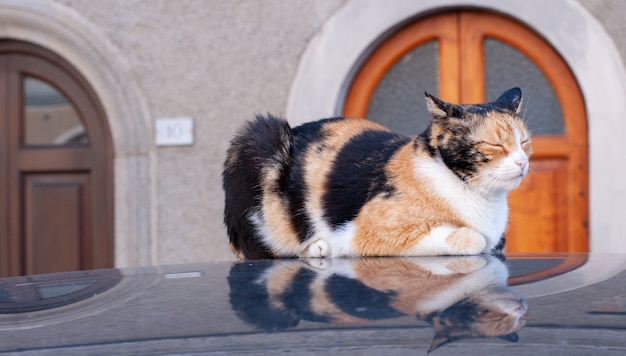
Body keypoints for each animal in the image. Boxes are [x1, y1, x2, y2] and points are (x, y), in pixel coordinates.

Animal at [222, 86, 528, 258]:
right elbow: (473, 238)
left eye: (524, 142)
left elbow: (495, 243)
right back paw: (316, 248)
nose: (523, 162)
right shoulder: (372, 232)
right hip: (259, 136)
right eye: (496, 145)